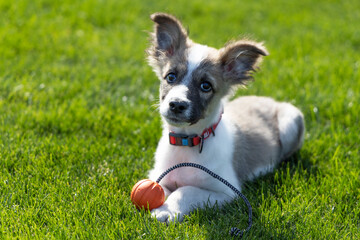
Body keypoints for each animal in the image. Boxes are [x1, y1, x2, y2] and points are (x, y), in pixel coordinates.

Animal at [146, 12, 304, 223]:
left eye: (206, 86)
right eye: (170, 77)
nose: (177, 105)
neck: (186, 144)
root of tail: (268, 99)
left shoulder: (227, 192)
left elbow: (186, 190)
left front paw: (168, 209)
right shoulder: (157, 174)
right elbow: (159, 188)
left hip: (290, 121)